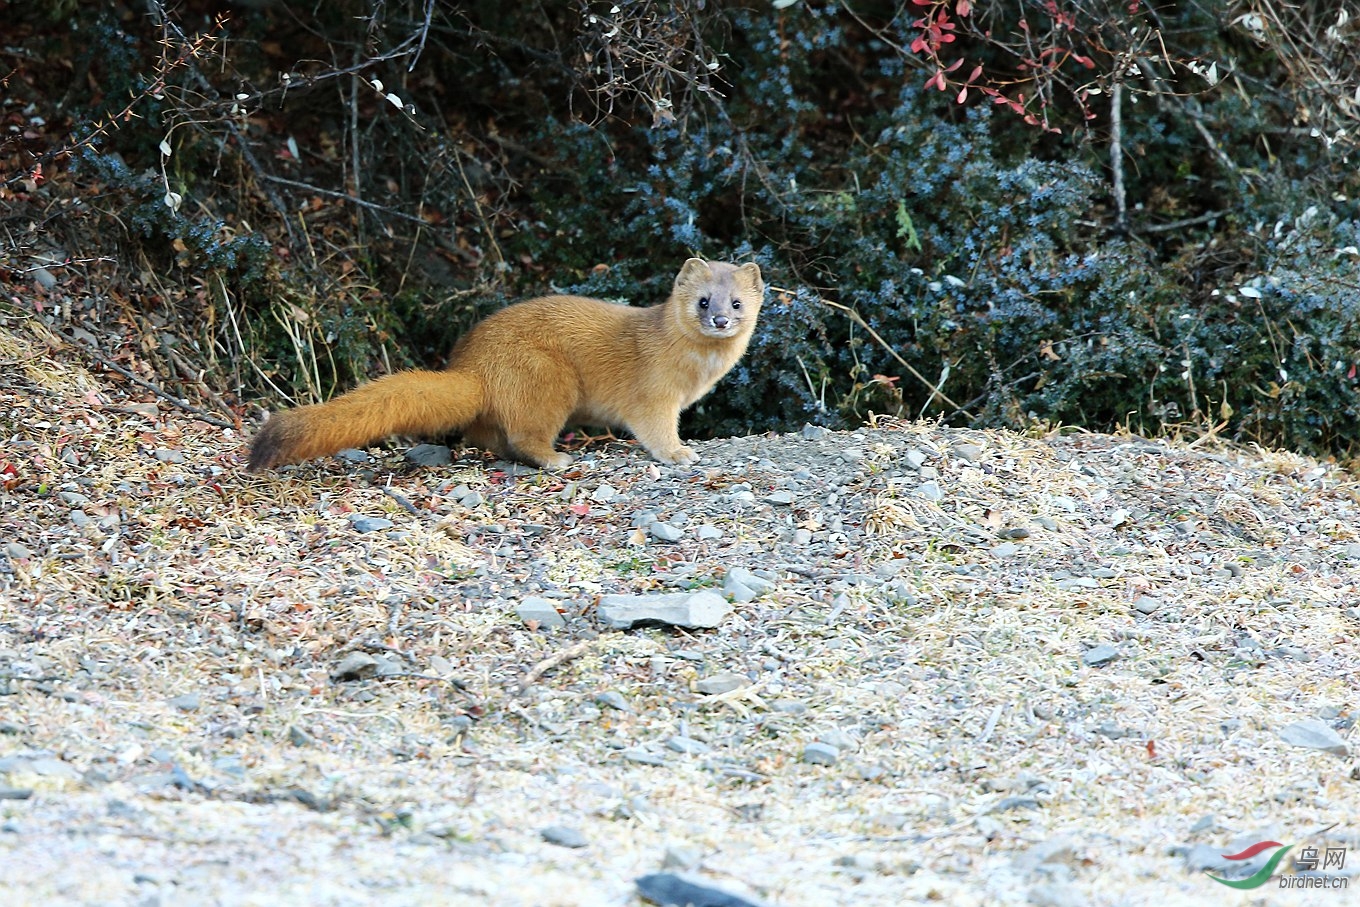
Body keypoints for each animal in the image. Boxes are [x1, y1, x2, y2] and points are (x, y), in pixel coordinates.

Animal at [246, 255, 767, 467]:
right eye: (702, 300)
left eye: (737, 302)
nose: (720, 319)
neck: (697, 370)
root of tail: (471, 365)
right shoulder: (654, 393)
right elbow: (655, 427)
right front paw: (679, 452)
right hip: (547, 376)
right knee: (523, 434)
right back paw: (556, 458)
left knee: (487, 433)